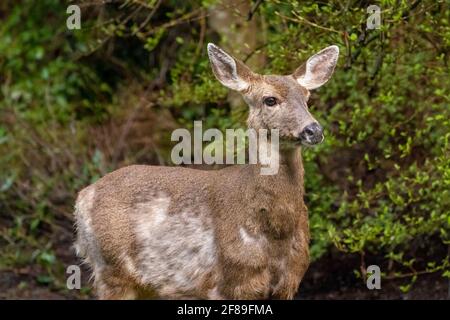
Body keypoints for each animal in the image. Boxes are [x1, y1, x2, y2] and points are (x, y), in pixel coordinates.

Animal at [74, 42, 338, 300]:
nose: (313, 130)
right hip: (111, 269)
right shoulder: (232, 282)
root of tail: (83, 197)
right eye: (270, 100)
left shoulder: (289, 281)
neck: (275, 231)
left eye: (307, 97)